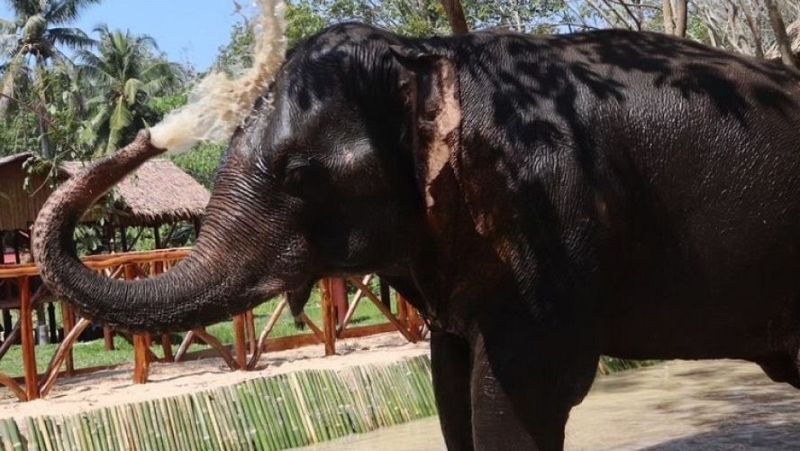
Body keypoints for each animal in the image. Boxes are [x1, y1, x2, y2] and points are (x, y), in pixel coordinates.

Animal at [33, 23, 800, 450]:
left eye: (300, 174)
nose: (151, 133)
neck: (429, 58)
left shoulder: (543, 222)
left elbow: (518, 397)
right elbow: (448, 388)